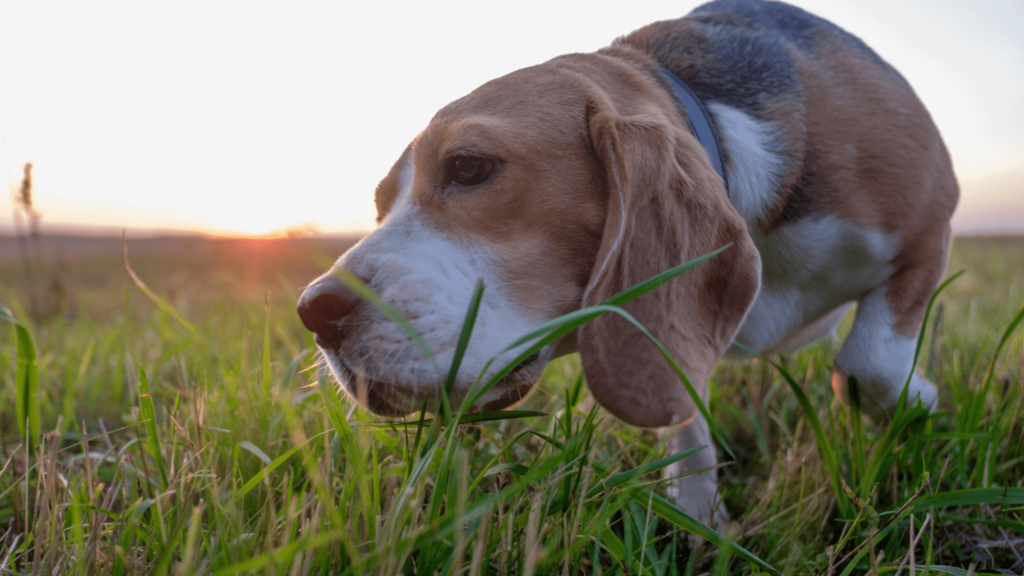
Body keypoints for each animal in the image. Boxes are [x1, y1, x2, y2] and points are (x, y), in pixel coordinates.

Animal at [296, 0, 958, 520]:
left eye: (469, 166)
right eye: (381, 206)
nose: (314, 312)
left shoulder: (932, 224)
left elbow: (868, 365)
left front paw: (921, 404)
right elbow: (684, 408)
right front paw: (698, 514)